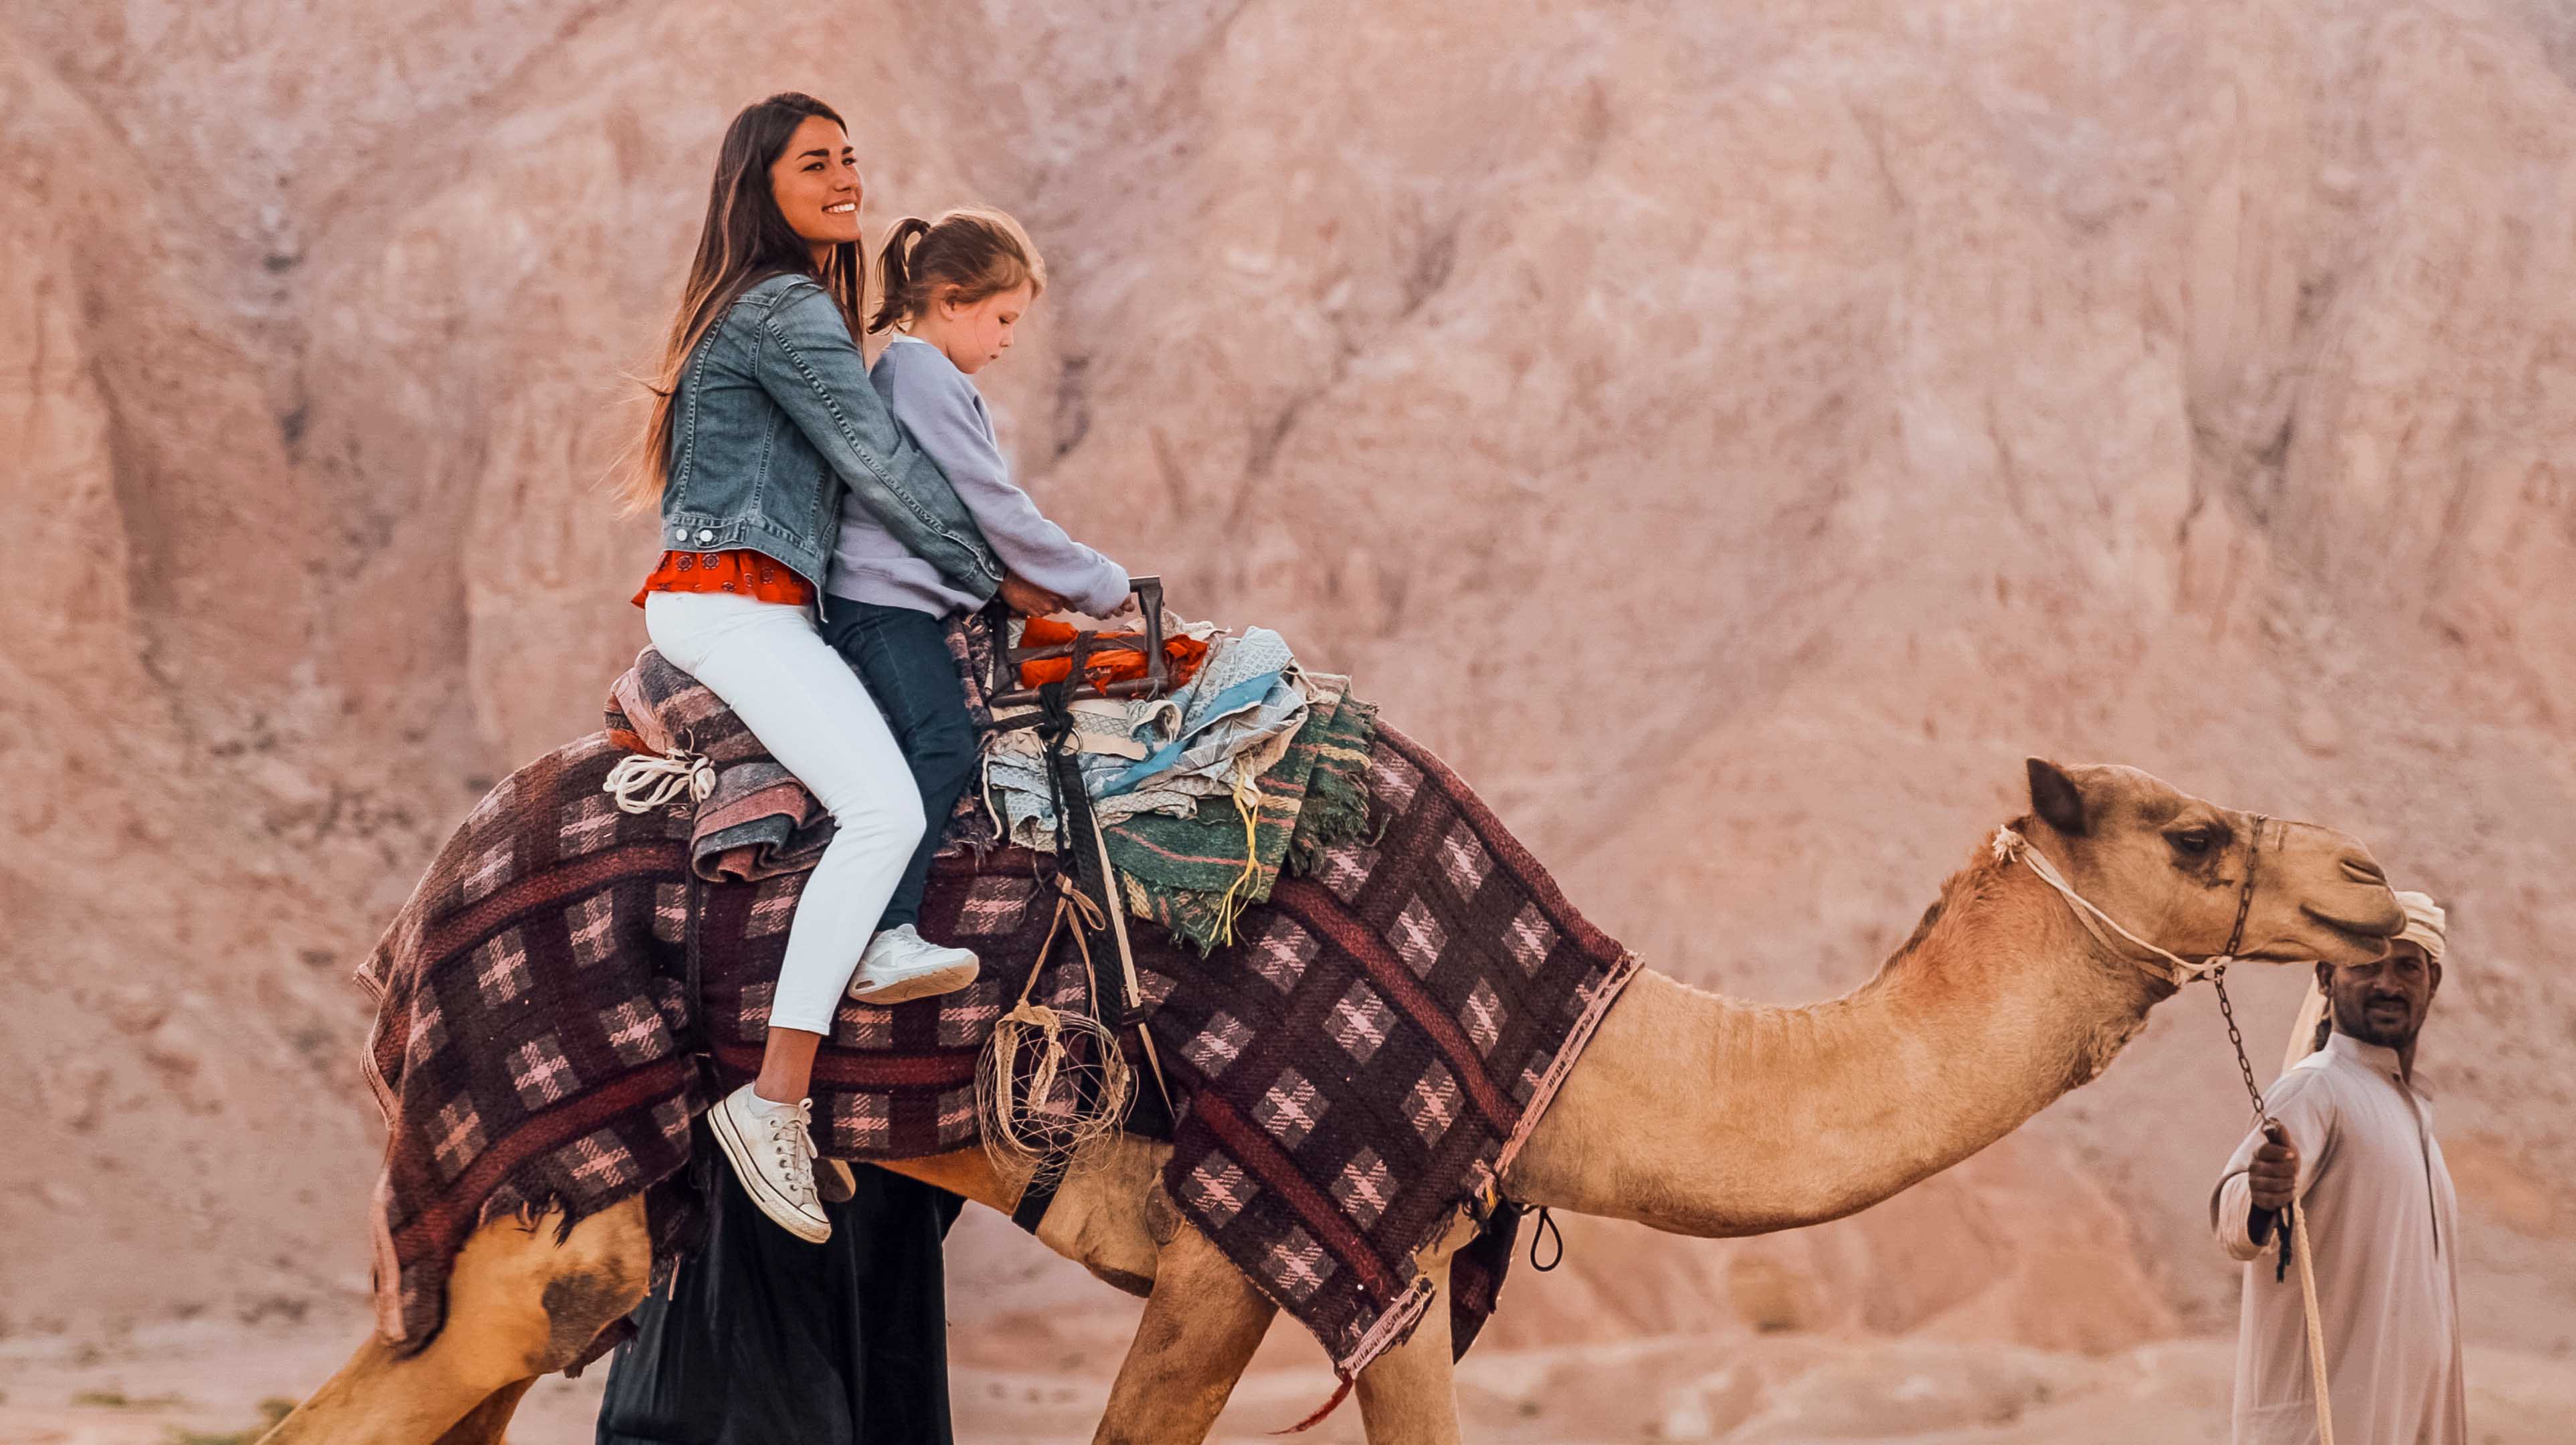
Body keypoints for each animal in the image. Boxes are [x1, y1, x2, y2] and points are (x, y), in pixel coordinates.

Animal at [261, 757, 2390, 1442]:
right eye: (2194, 829)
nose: (2369, 882)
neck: (1583, 1042)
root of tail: (421, 898)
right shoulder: (1233, 1245)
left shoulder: (1403, 1256)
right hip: (545, 1199)